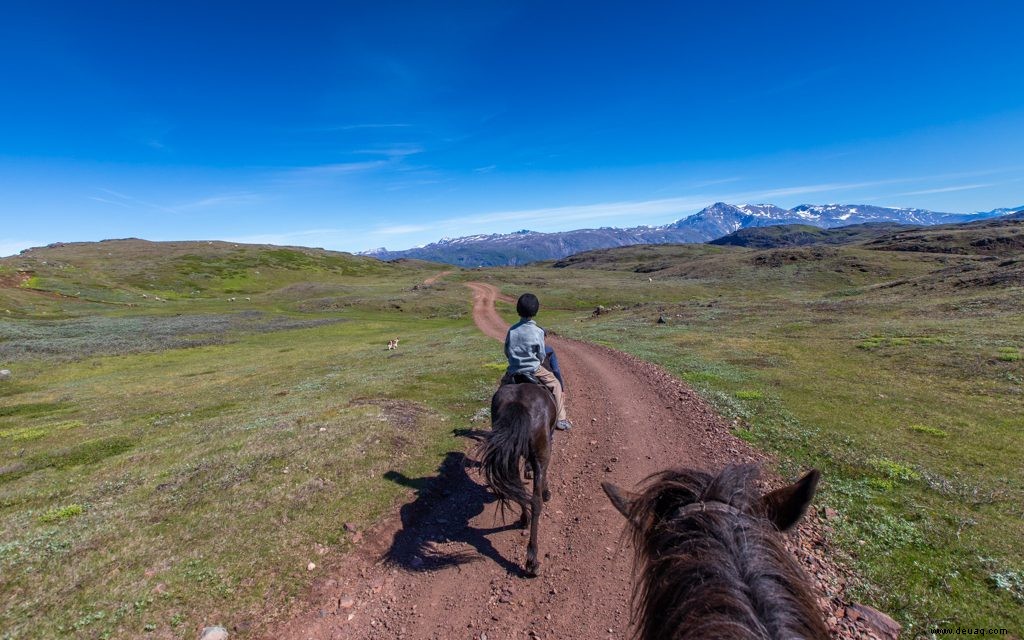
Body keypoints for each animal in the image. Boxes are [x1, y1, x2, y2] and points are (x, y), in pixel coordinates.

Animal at [475, 378, 557, 573]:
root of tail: (519, 403)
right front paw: (547, 491)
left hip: (510, 456)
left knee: (518, 489)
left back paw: (523, 519)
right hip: (541, 451)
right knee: (535, 501)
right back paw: (532, 559)